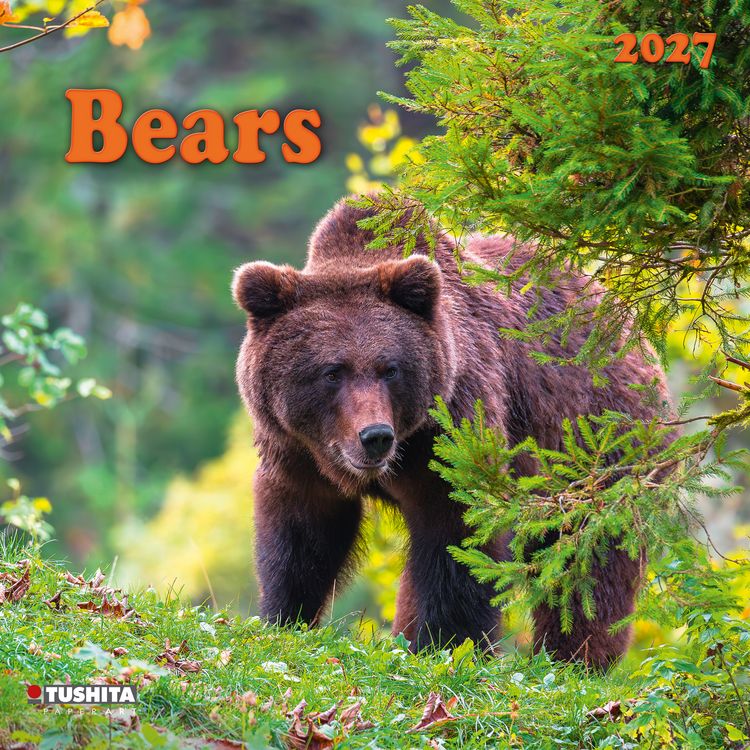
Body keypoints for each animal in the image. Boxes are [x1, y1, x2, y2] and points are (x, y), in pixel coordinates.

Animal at [232, 196, 674, 667]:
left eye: (390, 369)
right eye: (332, 372)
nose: (375, 436)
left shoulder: (457, 429)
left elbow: (457, 535)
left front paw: (447, 642)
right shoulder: (297, 449)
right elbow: (301, 535)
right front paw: (284, 617)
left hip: (597, 445)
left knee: (588, 558)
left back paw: (574, 657)